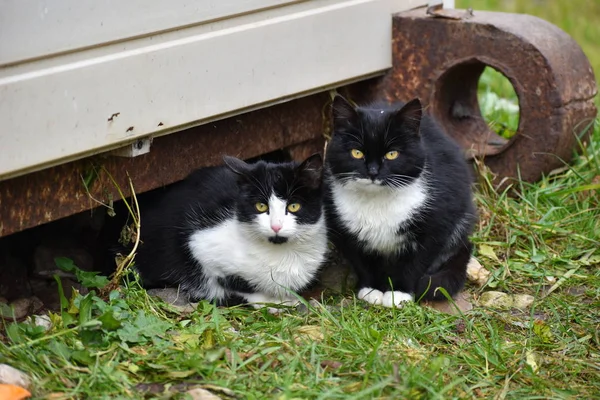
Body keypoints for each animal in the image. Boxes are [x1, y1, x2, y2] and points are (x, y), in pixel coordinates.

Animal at [123, 153, 328, 310]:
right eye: (261, 206)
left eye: (294, 206)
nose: (276, 226)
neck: (280, 251)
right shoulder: (200, 244)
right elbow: (236, 282)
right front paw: (271, 302)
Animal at [326, 95, 476, 308]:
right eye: (357, 153)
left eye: (392, 154)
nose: (373, 172)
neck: (377, 201)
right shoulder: (343, 227)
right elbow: (361, 260)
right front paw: (371, 289)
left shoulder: (437, 223)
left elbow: (417, 261)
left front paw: (399, 293)